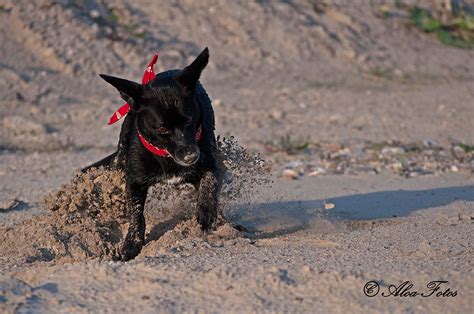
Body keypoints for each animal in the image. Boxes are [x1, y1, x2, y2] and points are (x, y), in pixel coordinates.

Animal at [83, 48, 220, 260]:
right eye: (162, 128)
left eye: (189, 120)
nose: (191, 157)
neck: (165, 156)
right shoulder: (134, 181)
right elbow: (136, 215)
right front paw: (131, 245)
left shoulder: (209, 163)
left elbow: (209, 182)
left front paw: (206, 214)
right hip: (121, 154)